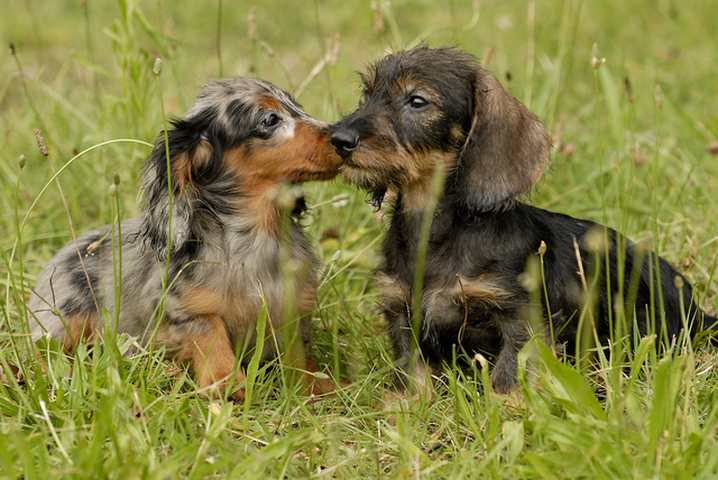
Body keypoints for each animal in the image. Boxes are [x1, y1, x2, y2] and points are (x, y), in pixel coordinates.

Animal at [28, 78, 344, 402]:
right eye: (270, 119)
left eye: (298, 107)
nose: (344, 138)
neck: (255, 239)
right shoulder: (180, 310)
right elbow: (209, 328)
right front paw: (225, 381)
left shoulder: (293, 307)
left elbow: (296, 350)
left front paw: (314, 383)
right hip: (67, 322)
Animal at [334, 46, 718, 394]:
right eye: (367, 95)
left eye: (416, 101)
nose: (338, 139)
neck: (435, 228)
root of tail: (699, 313)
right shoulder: (401, 310)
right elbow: (411, 371)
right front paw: (407, 406)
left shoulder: (519, 317)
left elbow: (508, 373)